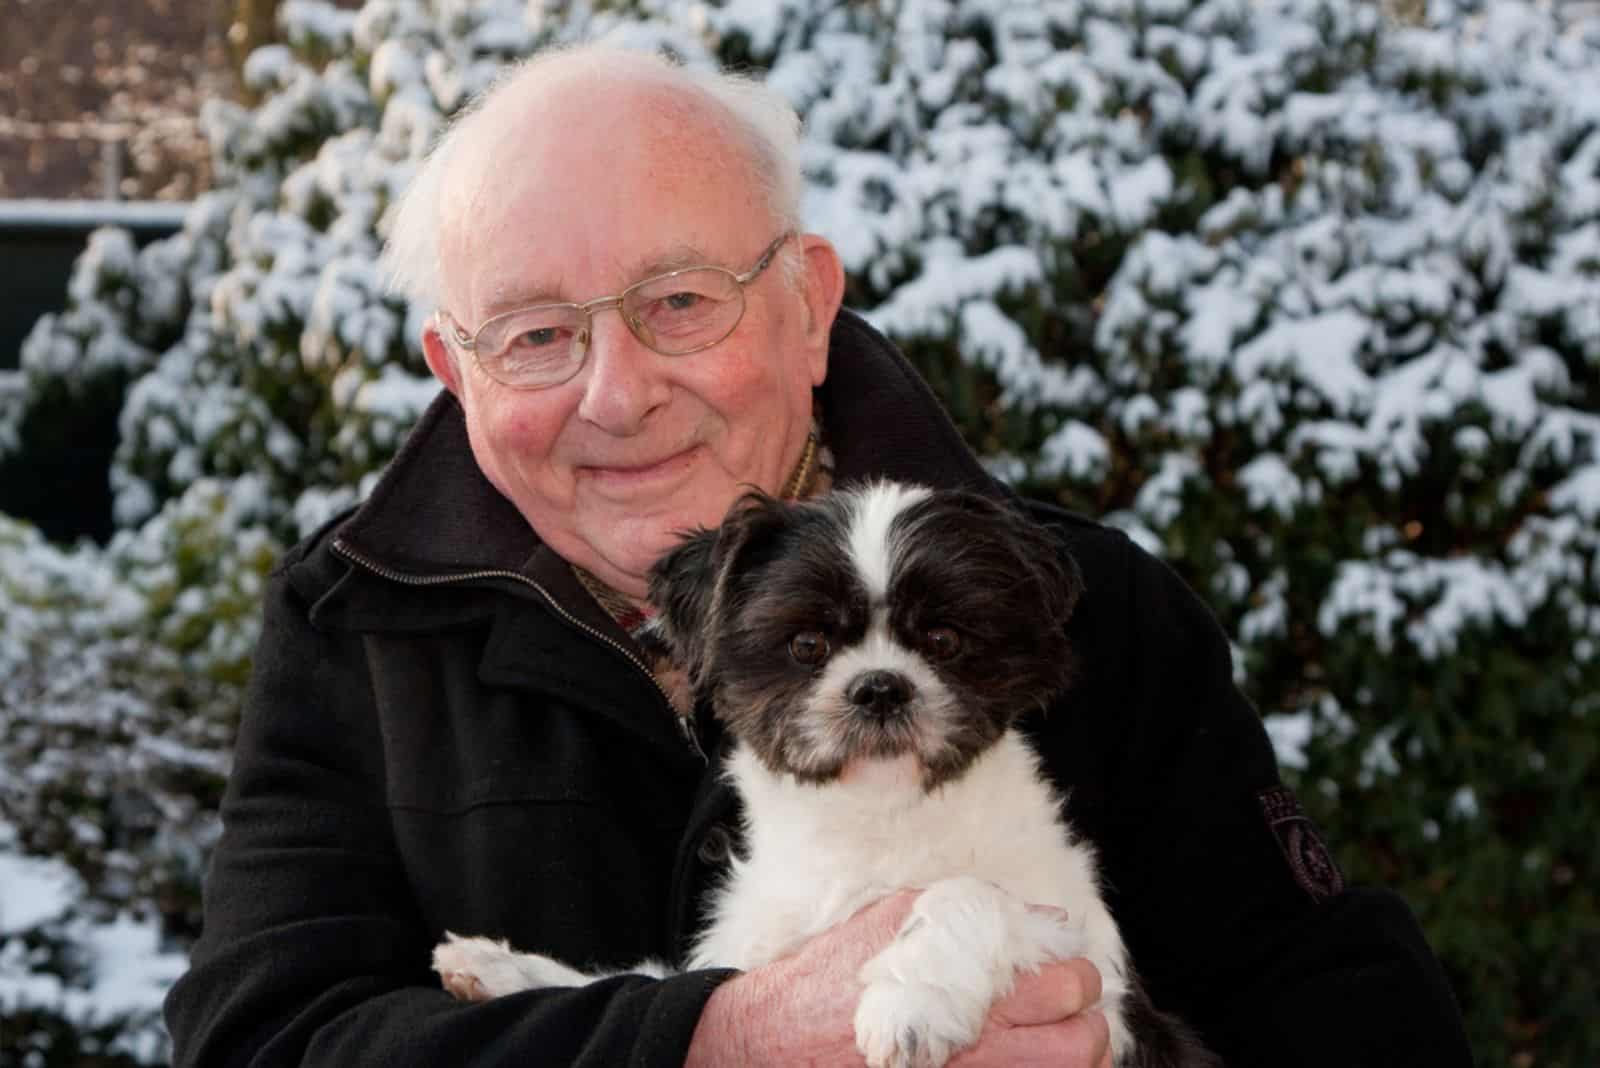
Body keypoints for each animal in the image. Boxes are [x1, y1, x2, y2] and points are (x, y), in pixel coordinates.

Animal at [432, 482, 1216, 1068]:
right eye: (807, 644)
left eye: (944, 640)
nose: (879, 688)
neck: (873, 820)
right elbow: (635, 976)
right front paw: (502, 968)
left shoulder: (1091, 971)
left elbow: (968, 894)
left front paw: (911, 1002)